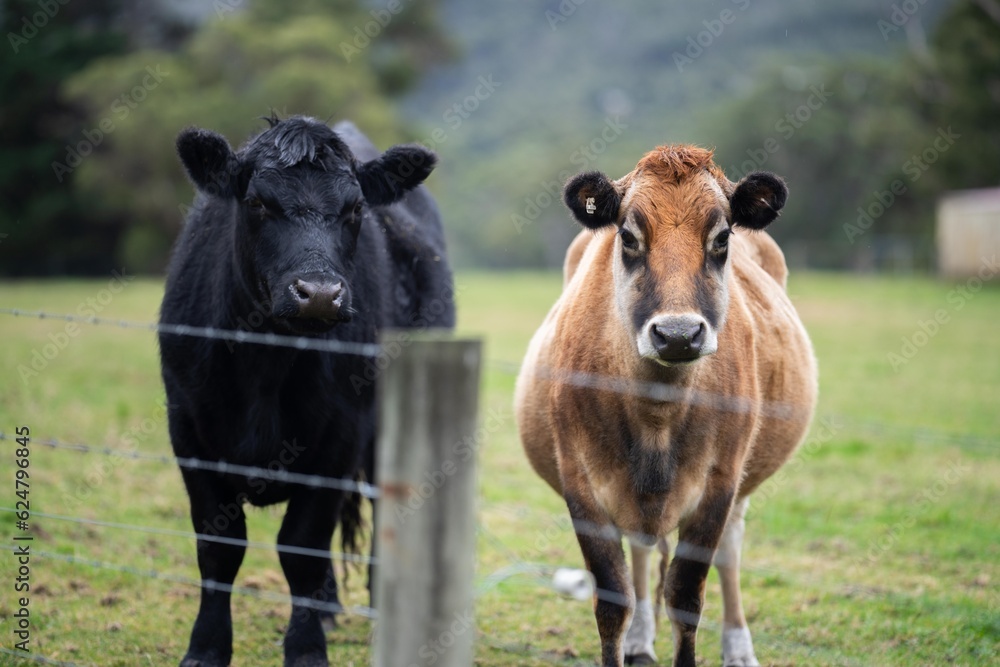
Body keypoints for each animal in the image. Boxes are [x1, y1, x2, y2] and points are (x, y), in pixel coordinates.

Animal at [159, 116, 454, 667]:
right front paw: (206, 647)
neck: (266, 365)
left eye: (355, 208)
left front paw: (305, 649)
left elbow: (301, 547)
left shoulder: (339, 438)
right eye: (257, 203)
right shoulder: (188, 433)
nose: (318, 294)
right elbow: (219, 547)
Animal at [520, 147, 816, 667]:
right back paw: (641, 637)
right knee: (641, 553)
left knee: (730, 552)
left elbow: (685, 595)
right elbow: (612, 599)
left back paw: (738, 646)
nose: (678, 334)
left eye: (722, 237)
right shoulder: (580, 484)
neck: (655, 415)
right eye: (628, 236)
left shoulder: (719, 485)